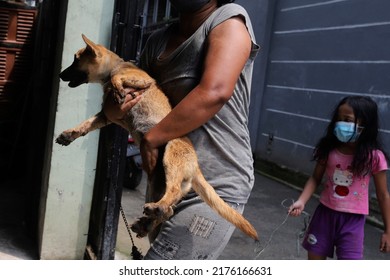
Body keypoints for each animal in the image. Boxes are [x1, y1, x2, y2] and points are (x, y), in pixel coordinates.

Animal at [57, 34, 258, 241]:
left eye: (76, 59)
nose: (60, 75)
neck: (116, 66)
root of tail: (196, 167)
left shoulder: (133, 80)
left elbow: (117, 79)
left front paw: (121, 85)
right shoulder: (107, 115)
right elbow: (87, 123)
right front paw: (69, 134)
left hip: (171, 154)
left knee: (172, 196)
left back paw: (154, 211)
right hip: (158, 183)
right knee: (169, 209)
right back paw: (148, 221)